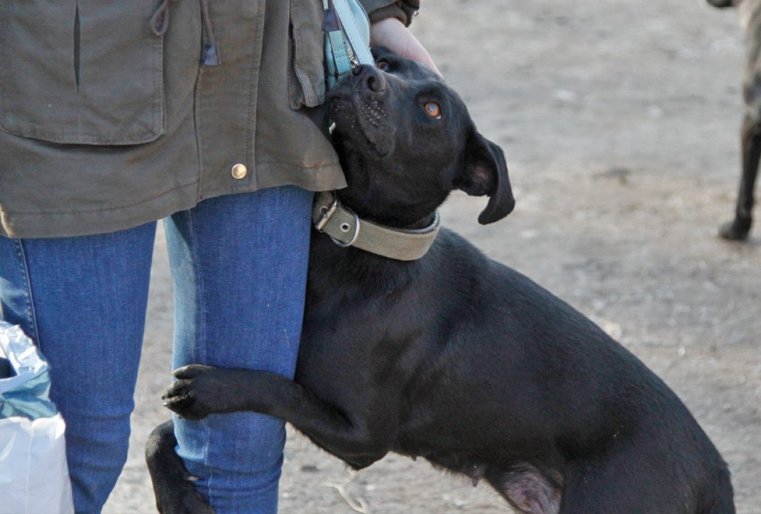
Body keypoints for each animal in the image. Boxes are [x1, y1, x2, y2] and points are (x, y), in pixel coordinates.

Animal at [145, 49, 732, 512]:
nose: (364, 74)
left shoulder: (363, 435)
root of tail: (716, 473)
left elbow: (278, 389)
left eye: (432, 109)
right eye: (386, 64)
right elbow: (156, 435)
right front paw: (179, 494)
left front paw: (215, 386)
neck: (361, 242)